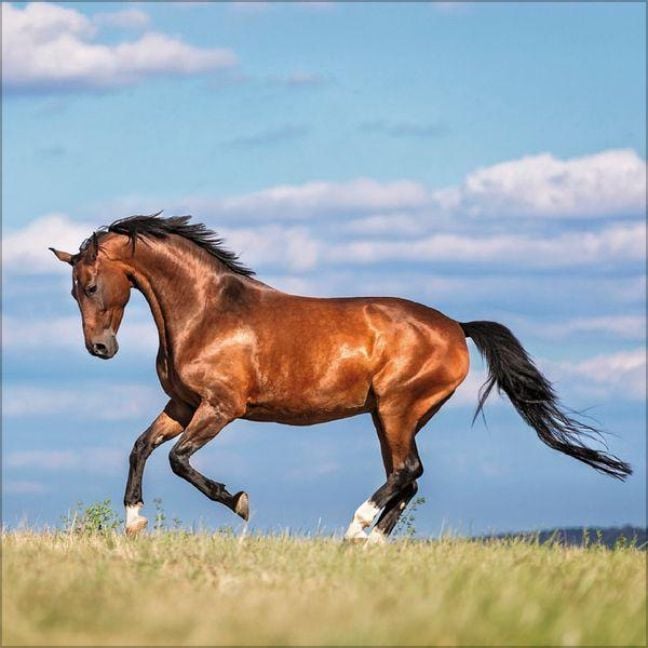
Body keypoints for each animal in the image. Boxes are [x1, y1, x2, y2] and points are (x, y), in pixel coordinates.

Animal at [50, 214, 632, 541]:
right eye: (73, 289)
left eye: (92, 285)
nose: (100, 349)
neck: (207, 312)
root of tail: (457, 327)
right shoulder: (184, 406)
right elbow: (140, 448)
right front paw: (134, 524)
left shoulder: (221, 408)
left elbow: (178, 460)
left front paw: (239, 502)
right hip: (392, 415)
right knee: (410, 475)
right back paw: (370, 542)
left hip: (397, 408)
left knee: (407, 471)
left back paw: (356, 528)